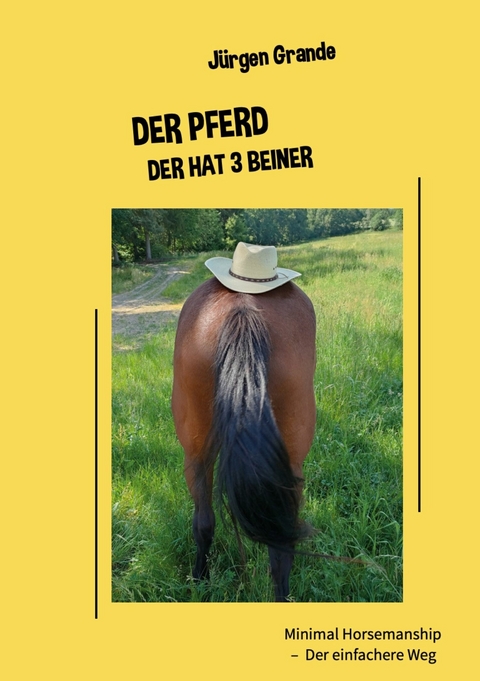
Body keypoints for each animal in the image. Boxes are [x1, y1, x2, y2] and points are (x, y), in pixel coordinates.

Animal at [171, 275, 316, 601]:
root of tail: (243, 309)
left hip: (194, 454)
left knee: (204, 521)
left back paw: (200, 579)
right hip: (290, 464)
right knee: (278, 543)